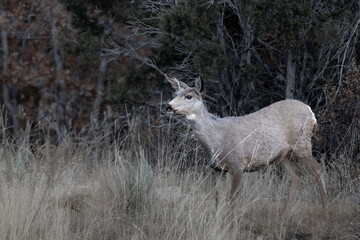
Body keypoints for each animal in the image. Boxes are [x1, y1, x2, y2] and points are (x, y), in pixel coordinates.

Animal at [167, 75, 328, 214]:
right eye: (175, 93)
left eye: (188, 96)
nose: (168, 106)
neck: (215, 140)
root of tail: (310, 111)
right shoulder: (217, 169)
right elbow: (218, 199)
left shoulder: (237, 165)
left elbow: (232, 199)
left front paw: (232, 225)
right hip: (283, 154)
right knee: (297, 173)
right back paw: (285, 213)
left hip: (301, 143)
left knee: (318, 169)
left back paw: (324, 211)